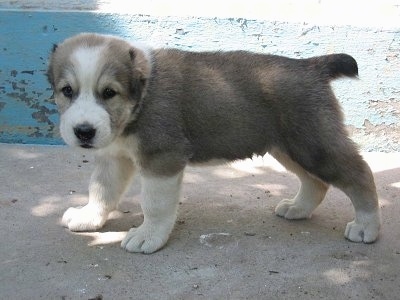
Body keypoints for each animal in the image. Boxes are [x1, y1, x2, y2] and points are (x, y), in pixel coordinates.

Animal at [47, 32, 382, 253]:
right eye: (67, 91)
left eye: (109, 93)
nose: (84, 131)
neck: (141, 97)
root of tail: (311, 66)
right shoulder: (115, 157)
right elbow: (102, 189)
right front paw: (90, 217)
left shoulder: (162, 159)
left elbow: (154, 204)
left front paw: (149, 236)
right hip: (289, 148)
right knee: (316, 182)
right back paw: (298, 208)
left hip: (315, 145)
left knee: (360, 174)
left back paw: (367, 227)